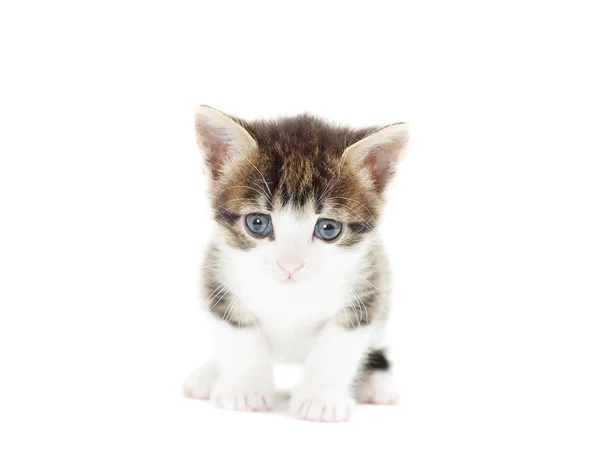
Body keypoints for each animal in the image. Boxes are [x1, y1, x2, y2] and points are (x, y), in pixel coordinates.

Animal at [183, 106, 408, 422]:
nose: (290, 265)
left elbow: (338, 344)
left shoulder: (369, 283)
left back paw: (376, 382)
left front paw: (320, 398)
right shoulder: (217, 275)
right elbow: (239, 332)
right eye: (257, 223)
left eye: (328, 228)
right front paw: (245, 389)